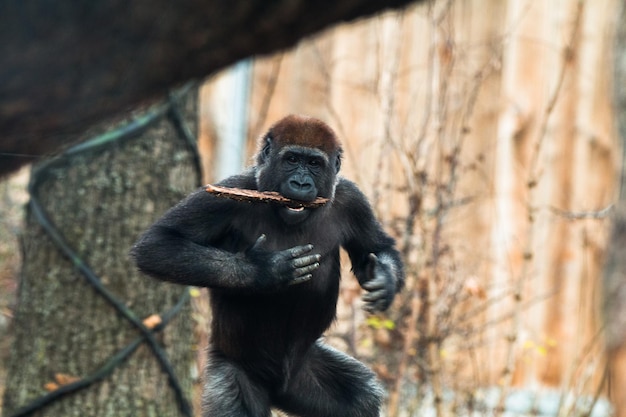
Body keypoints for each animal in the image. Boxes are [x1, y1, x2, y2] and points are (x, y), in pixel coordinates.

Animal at [132, 114, 404, 416]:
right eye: (292, 159)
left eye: (314, 163)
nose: (300, 183)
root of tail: (279, 393)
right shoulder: (224, 194)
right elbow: (159, 244)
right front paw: (265, 271)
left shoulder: (351, 199)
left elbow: (377, 247)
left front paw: (383, 281)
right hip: (231, 367)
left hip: (304, 375)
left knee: (362, 398)